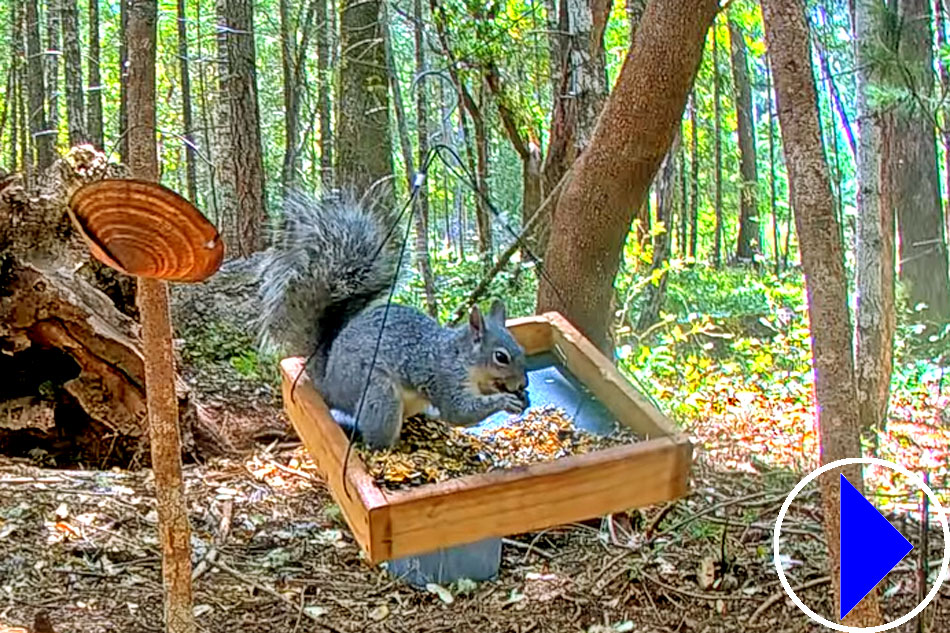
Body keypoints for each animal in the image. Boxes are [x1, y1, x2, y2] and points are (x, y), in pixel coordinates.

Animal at [256, 189, 532, 450]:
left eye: (521, 349)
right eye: (501, 357)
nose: (523, 383)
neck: (465, 360)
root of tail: (329, 384)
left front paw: (520, 397)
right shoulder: (444, 378)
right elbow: (460, 412)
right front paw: (504, 400)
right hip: (379, 392)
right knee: (375, 436)